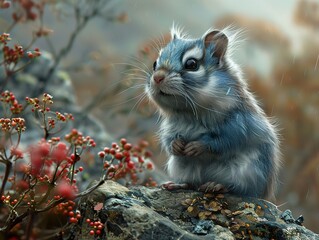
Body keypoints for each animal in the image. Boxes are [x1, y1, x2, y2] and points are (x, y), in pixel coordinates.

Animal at [146, 25, 282, 199]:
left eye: (191, 64)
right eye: (155, 63)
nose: (157, 77)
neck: (189, 113)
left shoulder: (238, 123)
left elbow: (225, 140)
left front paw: (197, 146)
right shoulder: (170, 126)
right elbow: (167, 139)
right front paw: (176, 145)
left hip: (247, 172)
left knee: (238, 189)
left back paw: (216, 185)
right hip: (180, 165)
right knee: (192, 183)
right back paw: (177, 184)